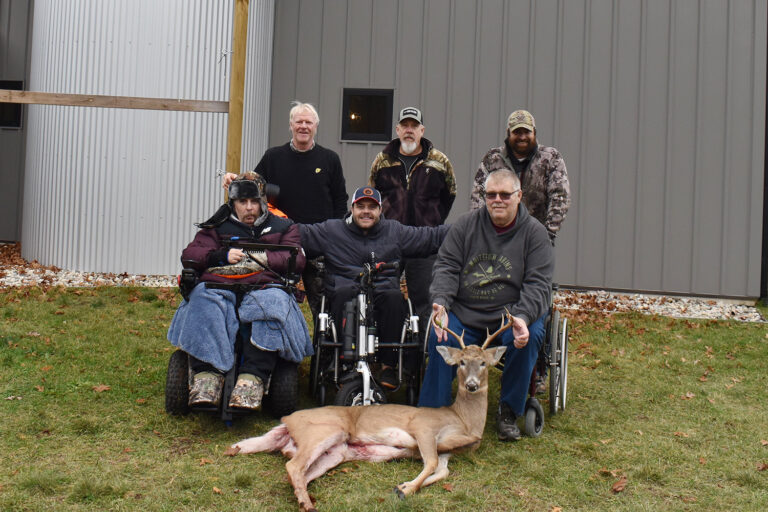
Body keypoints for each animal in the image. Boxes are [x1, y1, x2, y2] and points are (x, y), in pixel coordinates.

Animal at [226, 314, 516, 510]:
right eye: (462, 362)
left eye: (483, 363)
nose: (472, 385)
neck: (464, 421)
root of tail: (287, 419)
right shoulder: (423, 427)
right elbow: (431, 463)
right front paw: (404, 489)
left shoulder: (447, 452)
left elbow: (441, 470)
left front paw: (404, 486)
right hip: (325, 431)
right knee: (293, 465)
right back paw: (307, 504)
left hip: (335, 452)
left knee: (295, 468)